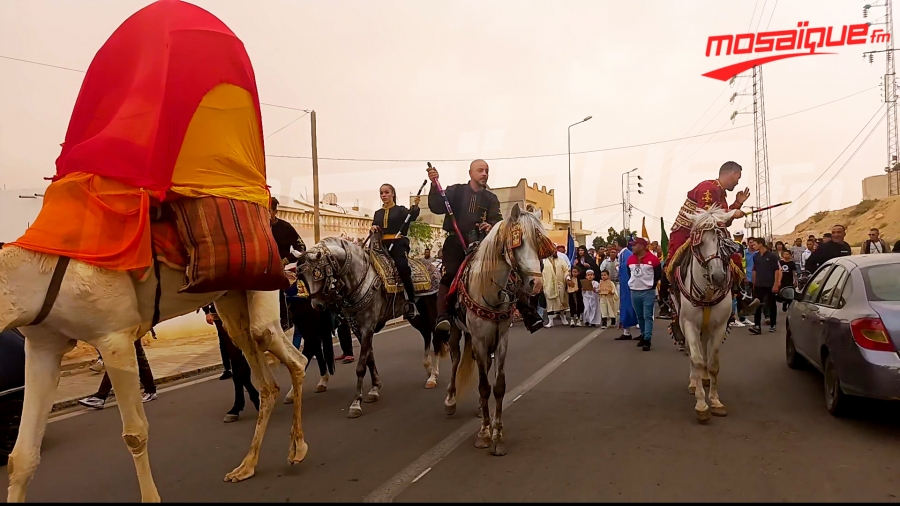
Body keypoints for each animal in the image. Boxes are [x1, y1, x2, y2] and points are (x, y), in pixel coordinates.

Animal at [0, 245, 310, 502]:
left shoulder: (115, 338)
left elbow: (134, 435)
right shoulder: (43, 345)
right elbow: (21, 455)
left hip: (264, 284)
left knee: (287, 352)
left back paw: (297, 449)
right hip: (230, 300)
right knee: (264, 374)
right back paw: (246, 466)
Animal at [442, 204, 552, 456]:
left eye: (538, 244)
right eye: (519, 242)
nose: (537, 285)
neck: (489, 289)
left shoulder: (501, 338)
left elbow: (499, 386)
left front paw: (498, 435)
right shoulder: (480, 339)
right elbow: (483, 386)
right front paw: (483, 434)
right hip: (457, 331)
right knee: (455, 359)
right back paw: (450, 400)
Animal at [672, 206, 740, 422]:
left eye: (722, 240)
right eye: (699, 243)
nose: (718, 277)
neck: (708, 291)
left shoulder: (719, 326)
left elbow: (713, 364)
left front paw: (716, 402)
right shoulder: (689, 324)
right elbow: (697, 359)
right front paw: (701, 404)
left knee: (703, 348)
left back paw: (703, 379)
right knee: (693, 353)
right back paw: (695, 382)